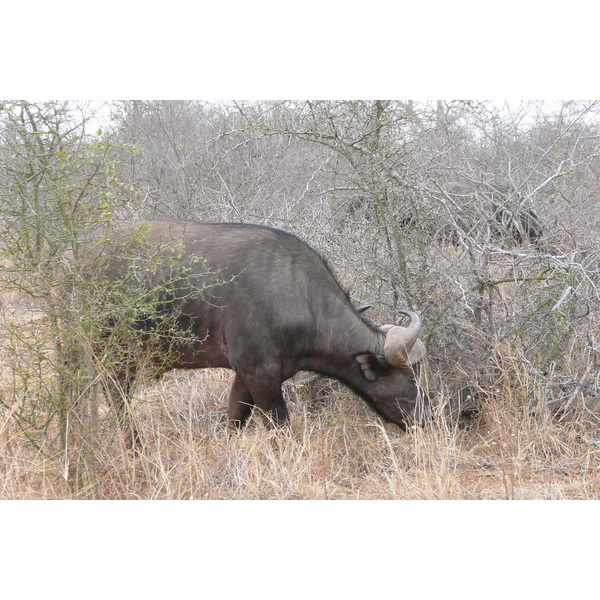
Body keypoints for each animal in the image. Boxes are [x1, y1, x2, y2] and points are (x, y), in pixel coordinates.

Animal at [96, 220, 428, 446]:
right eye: (411, 380)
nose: (428, 419)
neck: (301, 298)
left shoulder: (247, 376)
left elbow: (235, 418)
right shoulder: (261, 376)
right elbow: (280, 428)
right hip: (117, 354)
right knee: (117, 398)